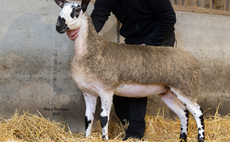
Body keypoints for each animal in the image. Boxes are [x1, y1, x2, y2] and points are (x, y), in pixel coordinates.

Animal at [55, 0, 205, 141]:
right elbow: (88, 118)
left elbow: (104, 118)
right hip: (167, 91)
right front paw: (86, 138)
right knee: (183, 112)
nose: (58, 26)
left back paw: (201, 138)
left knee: (198, 112)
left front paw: (105, 138)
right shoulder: (88, 93)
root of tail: (194, 59)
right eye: (61, 8)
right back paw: (182, 138)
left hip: (186, 88)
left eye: (77, 10)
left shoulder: (106, 90)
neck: (93, 50)